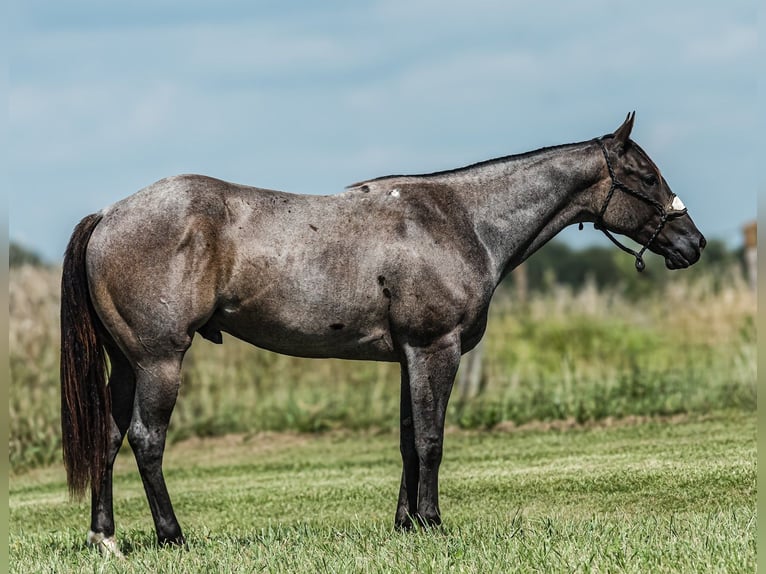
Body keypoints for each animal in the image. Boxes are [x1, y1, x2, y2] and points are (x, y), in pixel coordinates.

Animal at [58, 113, 708, 560]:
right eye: (646, 176)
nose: (694, 243)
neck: (462, 220)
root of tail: (109, 215)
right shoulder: (435, 349)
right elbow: (432, 440)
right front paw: (434, 523)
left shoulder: (407, 357)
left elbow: (406, 440)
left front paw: (407, 524)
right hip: (159, 361)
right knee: (146, 440)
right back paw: (172, 536)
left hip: (127, 364)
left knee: (108, 439)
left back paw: (105, 538)